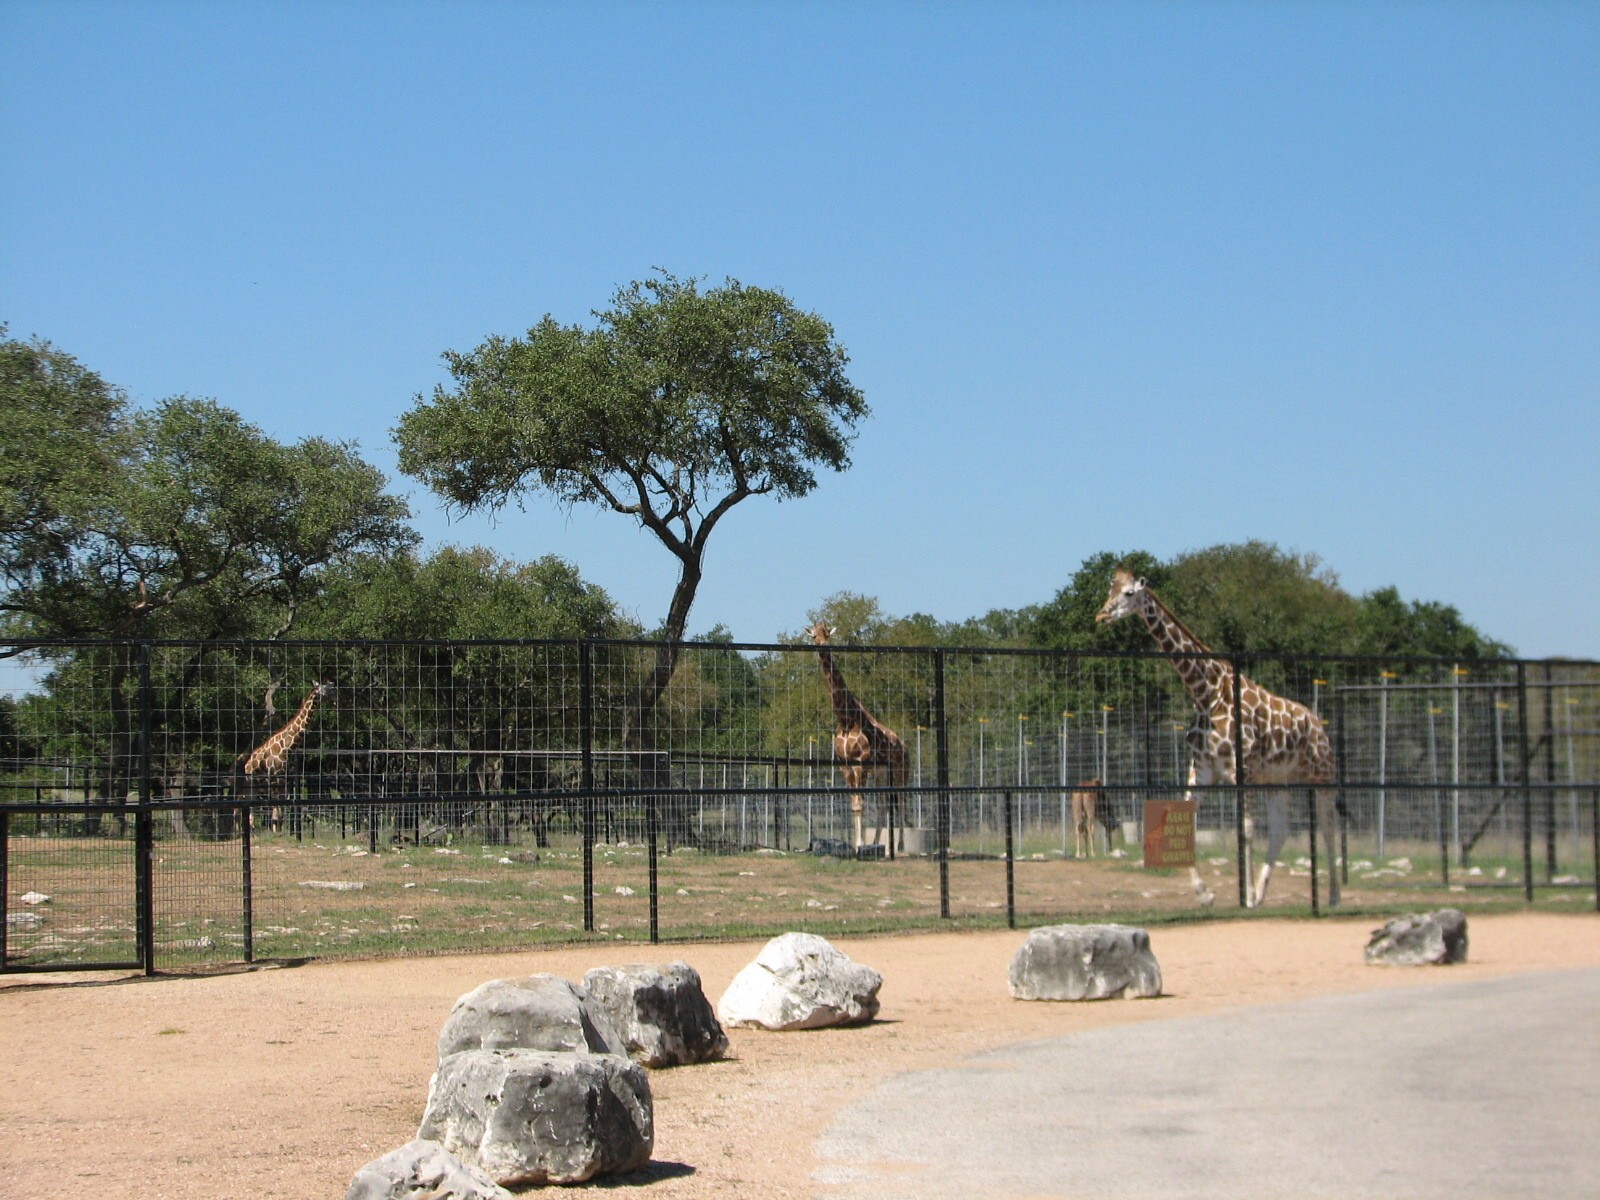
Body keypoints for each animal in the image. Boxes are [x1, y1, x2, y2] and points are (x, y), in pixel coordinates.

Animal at [238, 680, 332, 831]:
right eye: (325, 688)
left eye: (331, 686)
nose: (334, 696)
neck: (287, 747)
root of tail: (247, 763)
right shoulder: (276, 779)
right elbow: (278, 808)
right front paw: (277, 830)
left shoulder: (286, 779)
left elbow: (283, 807)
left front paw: (284, 830)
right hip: (251, 782)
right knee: (245, 803)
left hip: (257, 785)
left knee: (250, 803)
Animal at [809, 622, 909, 852]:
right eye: (813, 636)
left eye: (827, 634)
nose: (822, 646)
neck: (846, 719)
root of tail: (905, 747)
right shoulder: (845, 766)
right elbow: (854, 804)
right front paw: (859, 844)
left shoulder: (860, 764)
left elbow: (860, 804)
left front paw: (860, 844)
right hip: (882, 773)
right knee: (884, 805)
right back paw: (880, 845)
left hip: (901, 771)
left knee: (901, 802)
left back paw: (900, 846)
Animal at [1095, 569, 1341, 908]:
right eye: (1110, 589)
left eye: (1129, 593)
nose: (1102, 615)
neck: (1206, 693)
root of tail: (1320, 725)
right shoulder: (1202, 768)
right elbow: (1182, 822)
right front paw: (1206, 894)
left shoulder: (1242, 769)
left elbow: (1246, 830)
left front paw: (1244, 896)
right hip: (1277, 779)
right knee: (1281, 829)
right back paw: (1262, 894)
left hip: (1321, 775)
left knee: (1329, 825)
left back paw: (1332, 897)